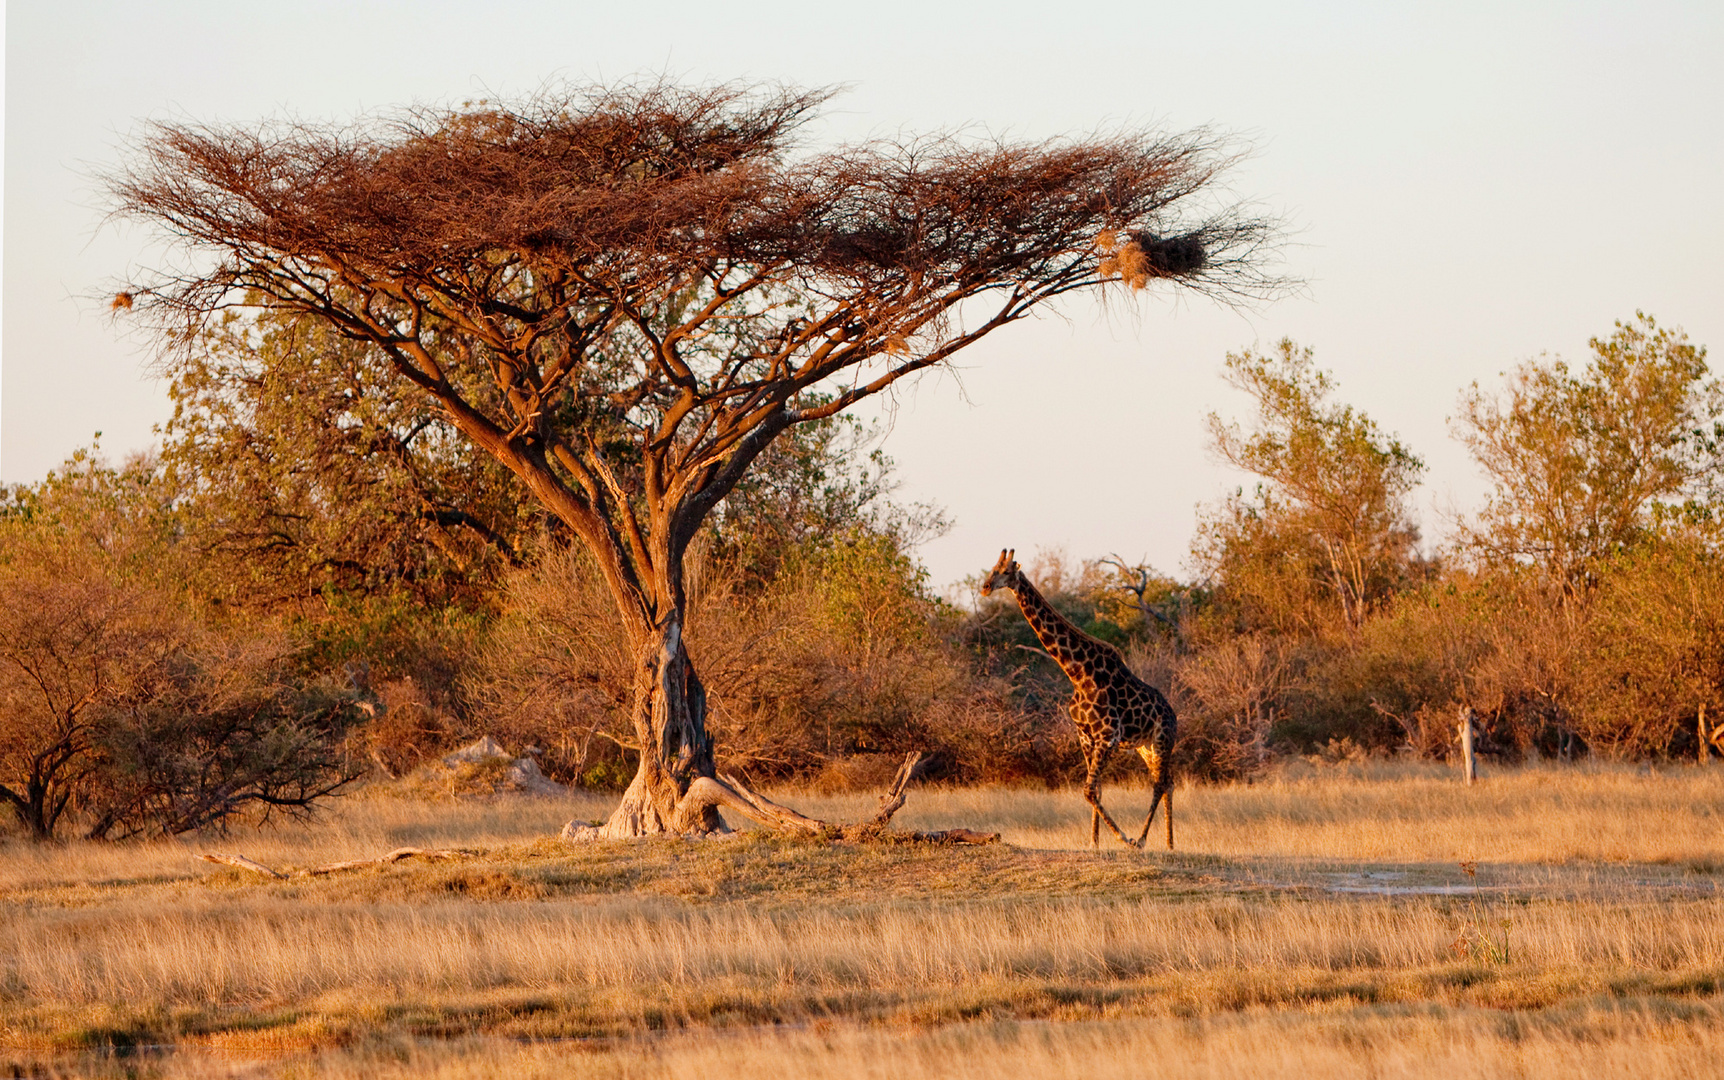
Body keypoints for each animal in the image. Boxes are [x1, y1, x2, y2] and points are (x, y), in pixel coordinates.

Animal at [979, 552, 1179, 845]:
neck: (1077, 672)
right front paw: (1094, 842)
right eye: (993, 568)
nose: (985, 587)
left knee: (1160, 783)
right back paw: (1169, 843)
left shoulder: (1108, 735)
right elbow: (1095, 789)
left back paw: (1141, 840)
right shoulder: (1086, 736)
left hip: (1163, 738)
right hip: (1146, 746)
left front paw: (1122, 837)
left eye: (1005, 570)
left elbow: (1089, 790)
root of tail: (1174, 715)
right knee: (1169, 782)